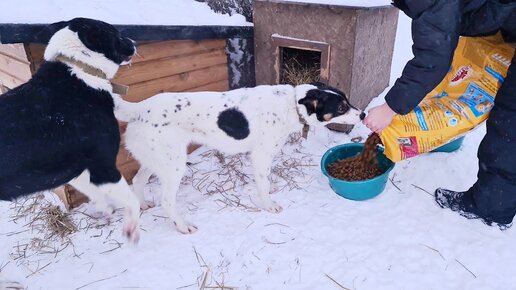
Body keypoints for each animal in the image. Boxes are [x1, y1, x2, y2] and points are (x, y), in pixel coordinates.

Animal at [0, 18, 141, 244]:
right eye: (116, 33)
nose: (136, 43)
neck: (80, 68)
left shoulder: (77, 173)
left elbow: (99, 197)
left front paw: (106, 213)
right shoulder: (104, 168)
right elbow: (132, 201)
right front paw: (131, 228)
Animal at [115, 81, 364, 233]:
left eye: (347, 100)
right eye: (341, 107)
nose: (362, 114)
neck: (292, 105)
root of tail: (139, 108)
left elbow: (267, 179)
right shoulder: (261, 155)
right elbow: (263, 184)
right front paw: (269, 204)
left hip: (158, 160)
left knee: (137, 180)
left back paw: (144, 204)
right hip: (174, 165)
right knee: (167, 201)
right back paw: (182, 226)